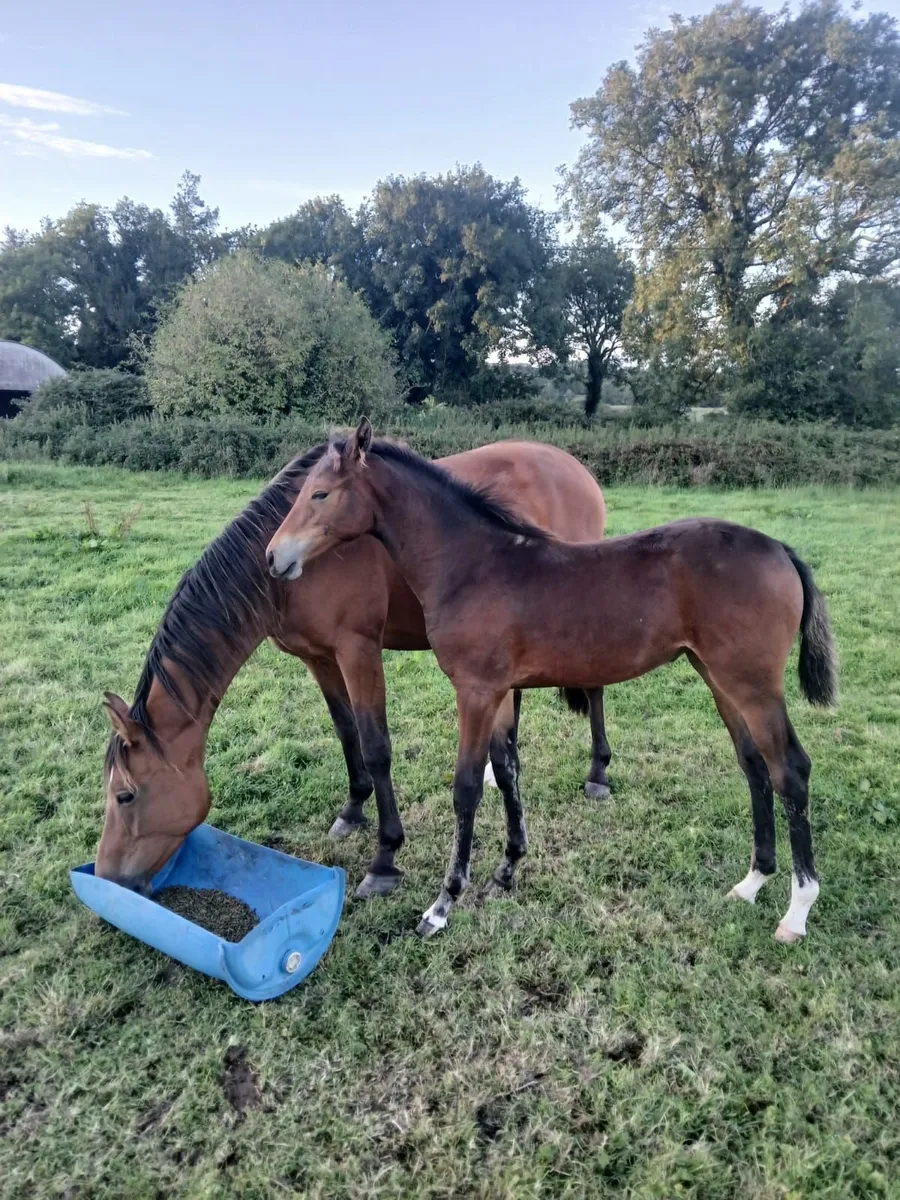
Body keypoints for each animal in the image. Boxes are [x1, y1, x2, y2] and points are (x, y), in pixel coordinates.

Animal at [96, 439, 610, 895]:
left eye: (125, 795)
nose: (108, 878)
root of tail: (575, 469)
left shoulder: (358, 650)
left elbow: (376, 745)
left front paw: (385, 857)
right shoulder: (318, 657)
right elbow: (347, 733)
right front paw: (352, 810)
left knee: (595, 687)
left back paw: (598, 772)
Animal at [266, 418, 838, 945]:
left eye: (320, 493)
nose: (275, 556)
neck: (472, 564)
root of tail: (780, 548)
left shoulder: (475, 691)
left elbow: (467, 788)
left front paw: (442, 904)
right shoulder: (498, 692)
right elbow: (508, 771)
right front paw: (507, 870)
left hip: (754, 685)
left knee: (790, 770)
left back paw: (797, 911)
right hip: (719, 678)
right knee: (754, 765)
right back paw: (752, 882)